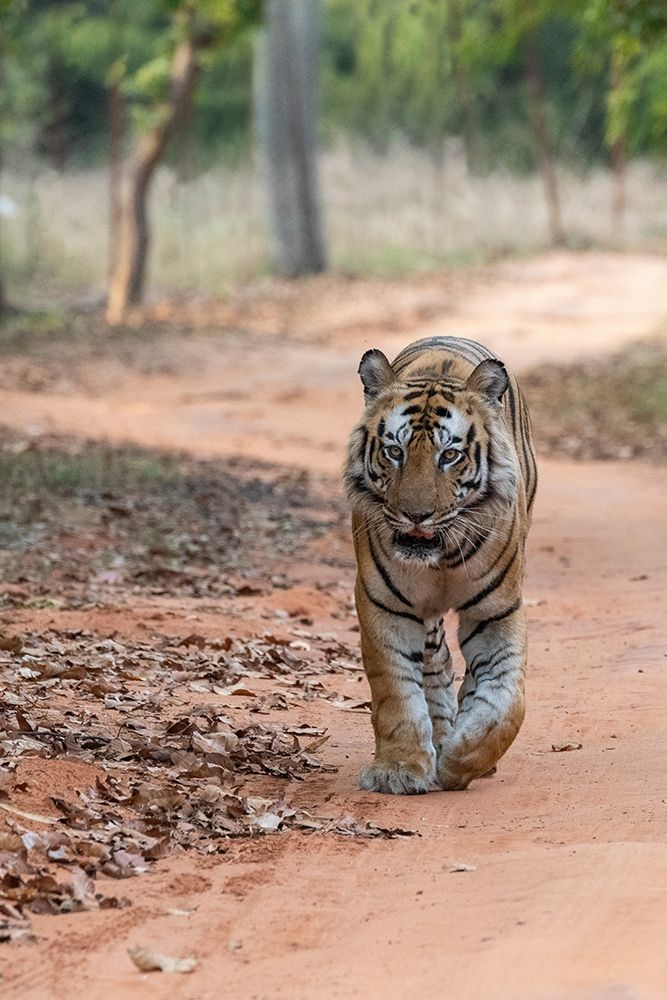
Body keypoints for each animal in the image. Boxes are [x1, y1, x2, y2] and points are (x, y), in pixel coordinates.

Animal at [345, 335, 537, 794]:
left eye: (449, 455)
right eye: (394, 451)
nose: (416, 515)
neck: (442, 556)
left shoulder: (497, 611)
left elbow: (507, 700)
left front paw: (461, 761)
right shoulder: (385, 605)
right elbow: (396, 690)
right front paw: (399, 770)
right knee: (436, 664)